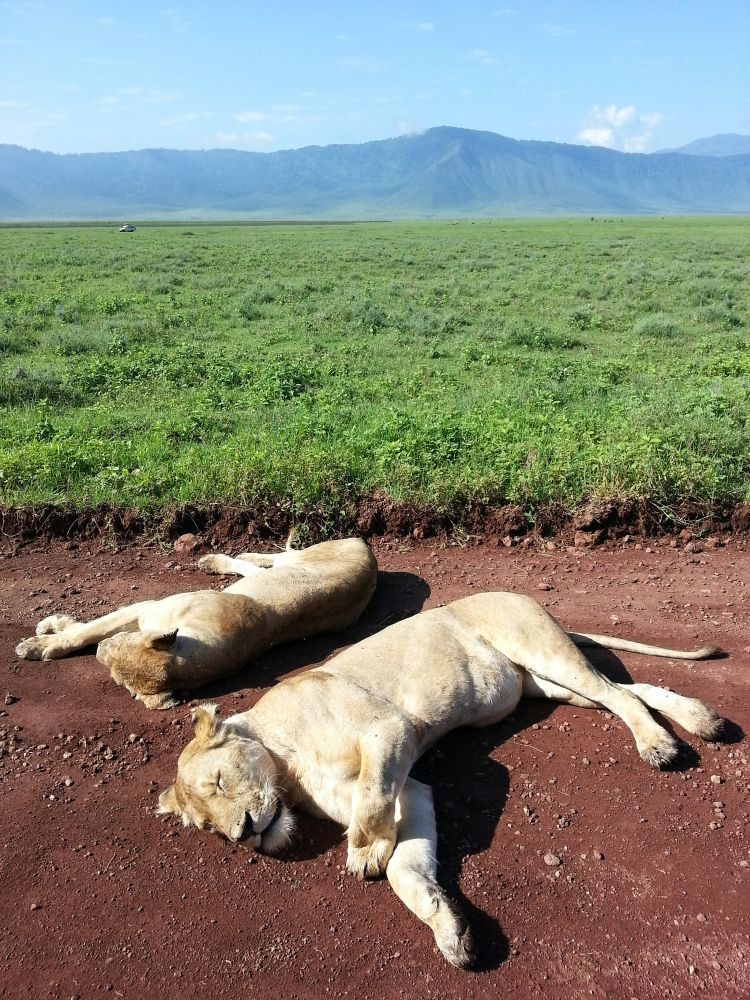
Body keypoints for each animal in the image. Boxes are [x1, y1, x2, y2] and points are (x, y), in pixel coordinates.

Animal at [17, 536, 378, 708]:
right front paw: (55, 625)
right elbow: (92, 627)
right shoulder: (145, 609)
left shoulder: (148, 609)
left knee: (268, 562)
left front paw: (41, 644)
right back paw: (226, 558)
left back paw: (219, 560)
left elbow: (87, 631)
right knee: (269, 561)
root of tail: (367, 546)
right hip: (295, 562)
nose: (100, 651)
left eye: (114, 672)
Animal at [157, 588, 724, 964]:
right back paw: (703, 719)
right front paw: (448, 930)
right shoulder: (412, 791)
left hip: (543, 651)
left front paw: (364, 852)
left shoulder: (388, 730)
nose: (243, 834)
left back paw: (659, 745)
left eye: (219, 781)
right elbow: (407, 870)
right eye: (208, 828)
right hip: (544, 684)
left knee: (618, 693)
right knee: (628, 690)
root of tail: (516, 593)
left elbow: (372, 807)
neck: (286, 767)